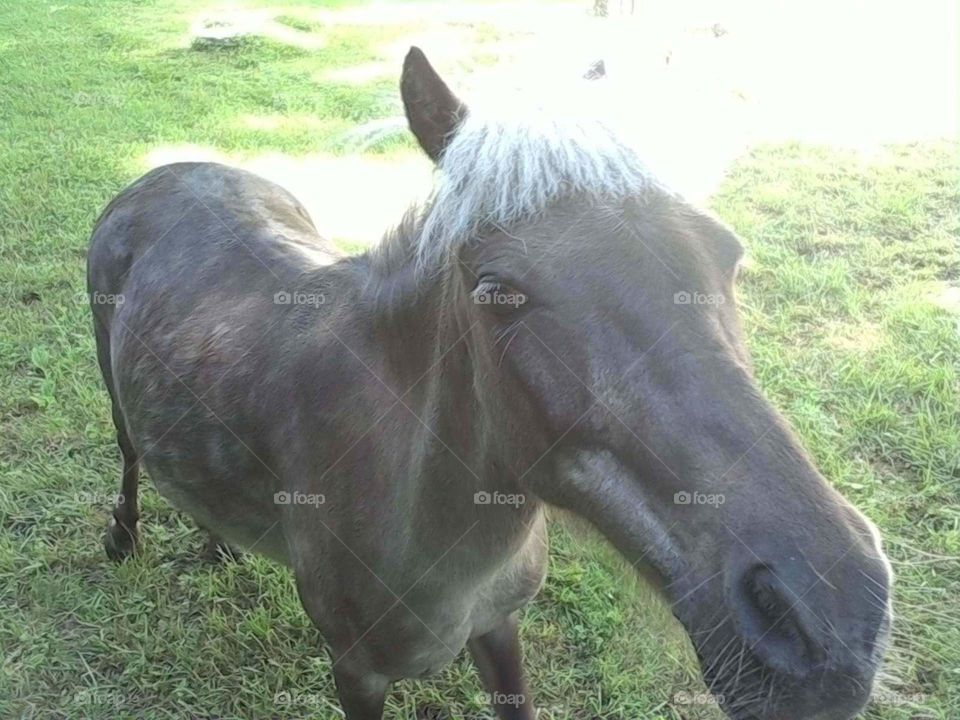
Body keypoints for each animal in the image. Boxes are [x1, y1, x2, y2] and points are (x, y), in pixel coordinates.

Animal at [87, 47, 892, 720]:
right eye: (497, 290)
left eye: (727, 252)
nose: (831, 620)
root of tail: (168, 171)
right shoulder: (357, 673)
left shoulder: (501, 630)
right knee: (128, 453)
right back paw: (123, 538)